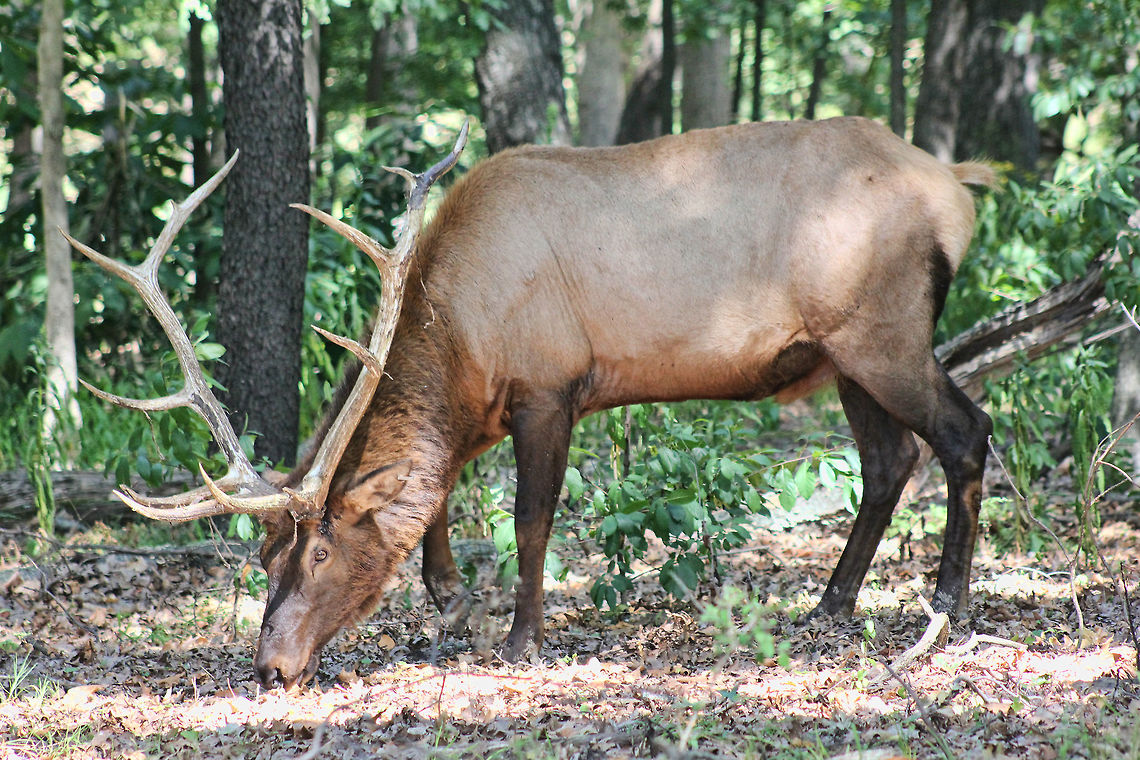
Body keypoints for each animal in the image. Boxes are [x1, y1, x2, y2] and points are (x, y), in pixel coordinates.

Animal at [69, 116, 995, 690]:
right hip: (843, 354)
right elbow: (436, 496)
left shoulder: (550, 386)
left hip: (883, 331)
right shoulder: (478, 414)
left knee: (966, 431)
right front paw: (452, 602)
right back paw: (830, 602)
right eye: (265, 560)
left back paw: (947, 603)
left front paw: (523, 638)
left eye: (322, 553)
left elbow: (530, 516)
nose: (272, 667)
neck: (458, 337)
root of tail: (957, 190)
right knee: (889, 461)